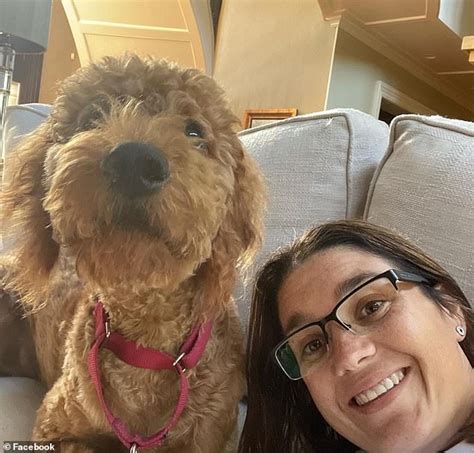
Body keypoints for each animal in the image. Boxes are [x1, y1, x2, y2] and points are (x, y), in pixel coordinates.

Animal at [1, 54, 265, 452]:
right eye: (93, 116)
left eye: (194, 132)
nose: (134, 162)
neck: (148, 339)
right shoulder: (55, 428)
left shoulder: (212, 436)